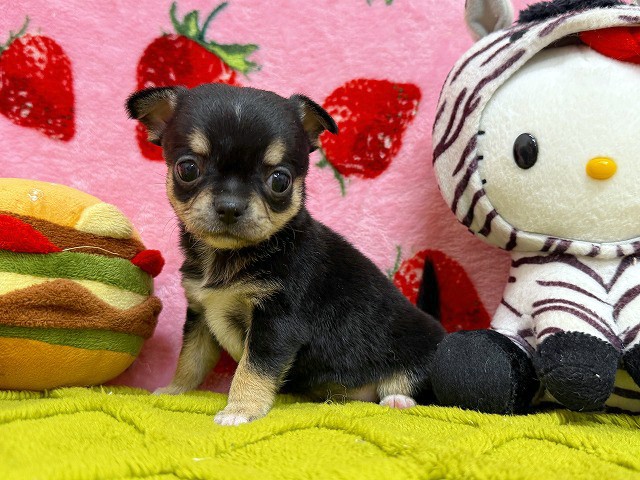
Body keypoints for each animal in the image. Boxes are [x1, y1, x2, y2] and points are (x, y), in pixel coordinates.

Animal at [126, 83, 445, 426]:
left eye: (280, 180)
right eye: (187, 169)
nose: (229, 206)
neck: (228, 256)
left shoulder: (276, 321)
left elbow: (253, 368)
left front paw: (240, 410)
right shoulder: (201, 313)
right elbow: (191, 358)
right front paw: (175, 391)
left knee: (412, 384)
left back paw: (398, 399)